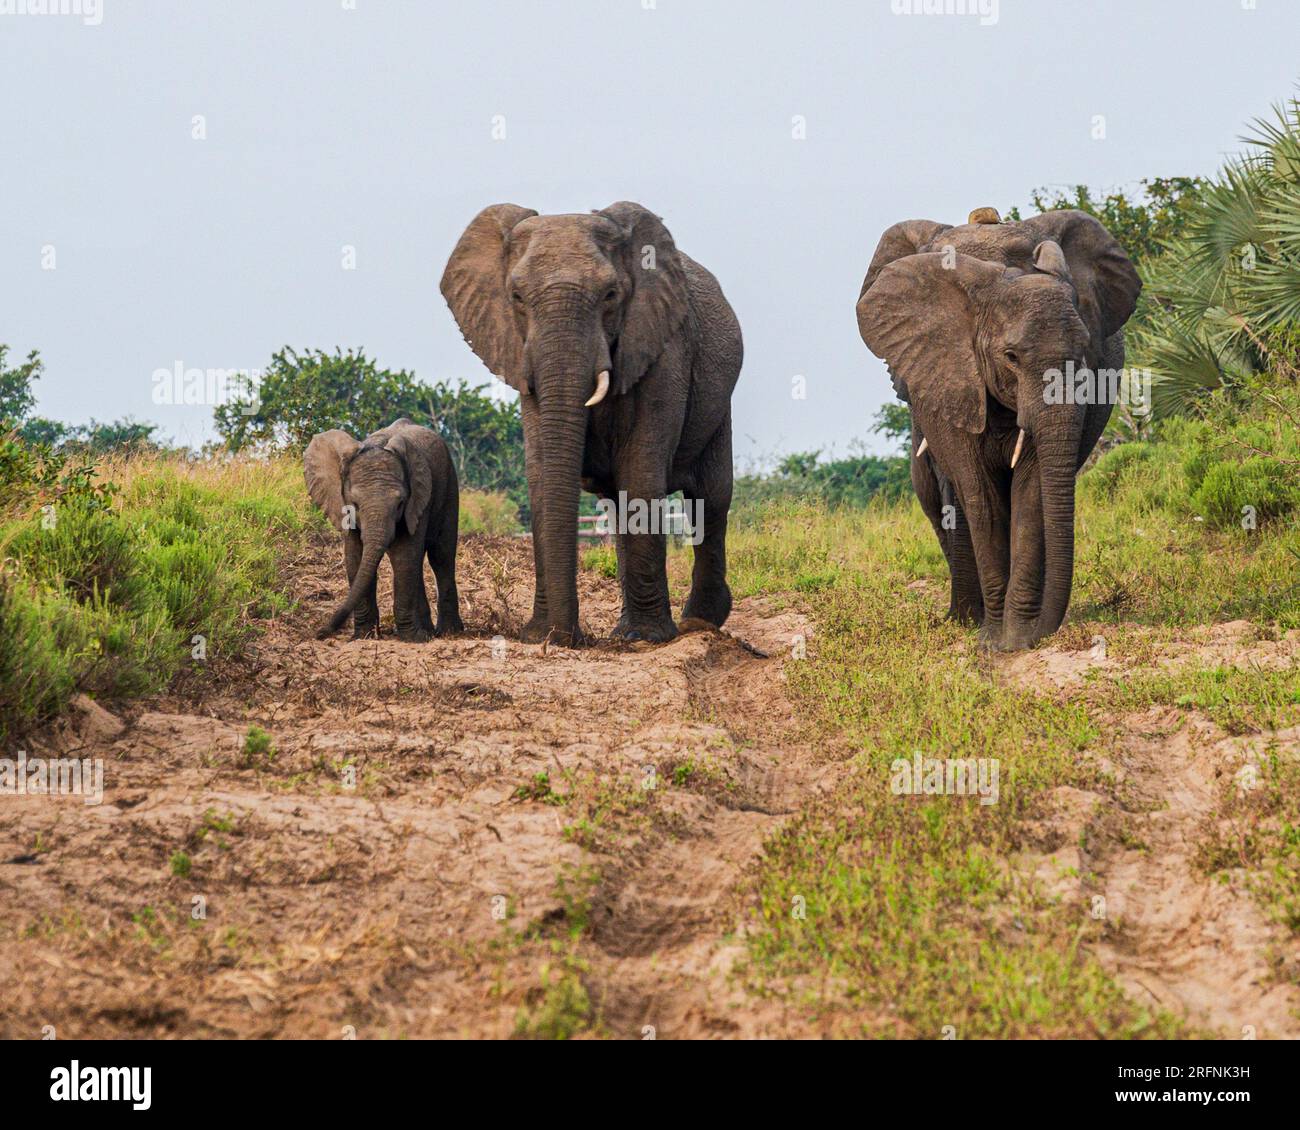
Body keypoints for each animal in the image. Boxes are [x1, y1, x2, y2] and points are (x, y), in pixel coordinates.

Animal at [304, 418, 463, 642]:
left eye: (400, 504)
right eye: (354, 504)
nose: (320, 633)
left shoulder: (416, 500)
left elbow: (404, 556)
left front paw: (413, 639)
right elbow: (355, 556)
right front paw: (364, 636)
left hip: (449, 484)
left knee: (441, 556)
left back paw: (448, 632)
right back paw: (428, 631)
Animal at [440, 201, 743, 646]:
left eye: (610, 295)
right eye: (516, 297)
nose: (567, 638)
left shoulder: (664, 350)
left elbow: (641, 472)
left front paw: (651, 638)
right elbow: (541, 476)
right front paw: (539, 634)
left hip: (719, 403)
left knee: (711, 498)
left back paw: (697, 624)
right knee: (618, 507)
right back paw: (625, 630)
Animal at [856, 207, 1141, 651]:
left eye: (1085, 352)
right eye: (1011, 356)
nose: (1044, 631)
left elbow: (1030, 494)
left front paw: (1016, 639)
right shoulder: (947, 370)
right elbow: (978, 496)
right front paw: (992, 639)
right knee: (935, 491)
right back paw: (963, 619)